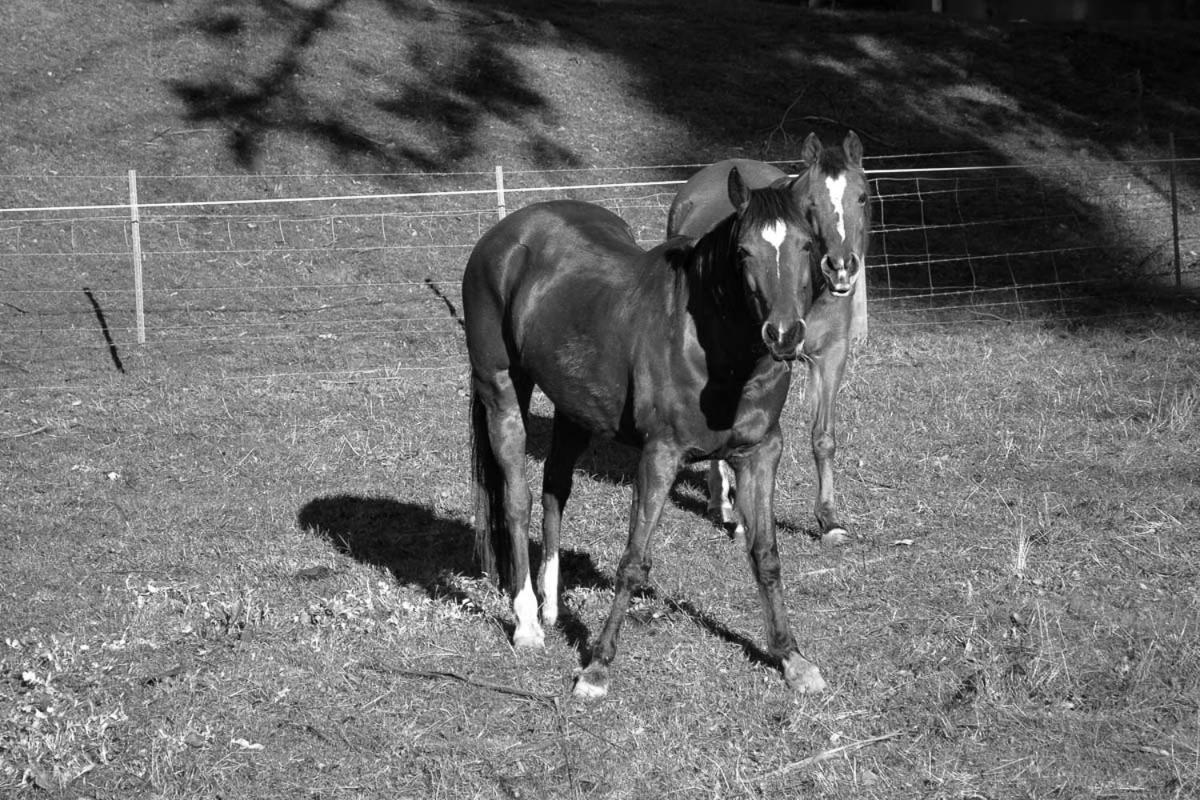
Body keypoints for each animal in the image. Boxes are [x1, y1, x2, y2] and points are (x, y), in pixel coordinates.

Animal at [458, 170, 825, 700]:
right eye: (743, 252)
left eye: (806, 244)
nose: (783, 335)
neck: (715, 349)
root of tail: (503, 236)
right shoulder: (660, 455)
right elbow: (633, 561)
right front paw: (597, 668)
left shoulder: (761, 453)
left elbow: (766, 555)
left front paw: (792, 657)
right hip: (502, 393)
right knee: (517, 498)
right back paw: (527, 623)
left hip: (574, 408)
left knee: (553, 491)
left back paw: (551, 607)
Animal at [667, 133, 873, 544]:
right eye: (812, 204)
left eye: (861, 197)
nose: (841, 266)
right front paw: (740, 519)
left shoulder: (832, 356)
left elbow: (823, 437)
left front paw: (829, 520)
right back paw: (720, 504)